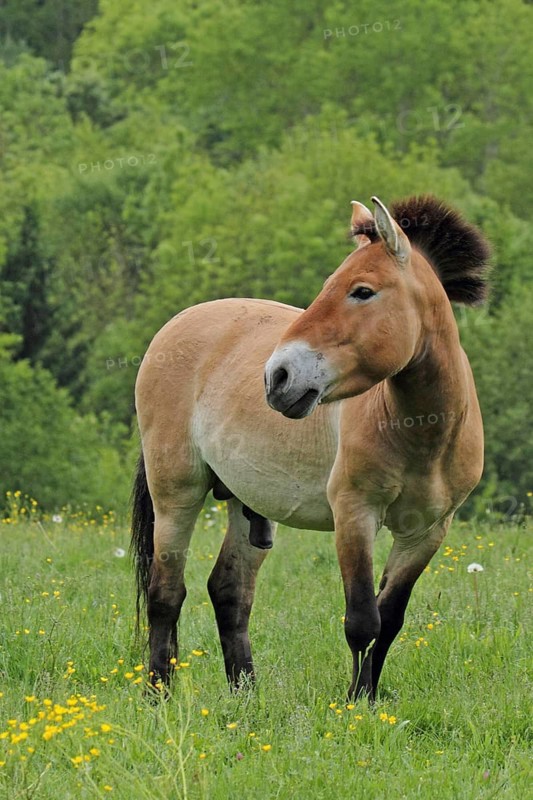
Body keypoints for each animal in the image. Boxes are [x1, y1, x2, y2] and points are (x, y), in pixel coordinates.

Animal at [131, 194, 491, 699]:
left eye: (362, 291)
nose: (277, 376)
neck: (422, 435)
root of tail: (175, 326)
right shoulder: (354, 515)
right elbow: (362, 621)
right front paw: (353, 705)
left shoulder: (427, 532)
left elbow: (389, 620)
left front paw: (369, 698)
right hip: (176, 494)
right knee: (166, 593)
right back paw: (157, 694)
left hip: (246, 506)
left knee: (229, 592)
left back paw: (246, 696)